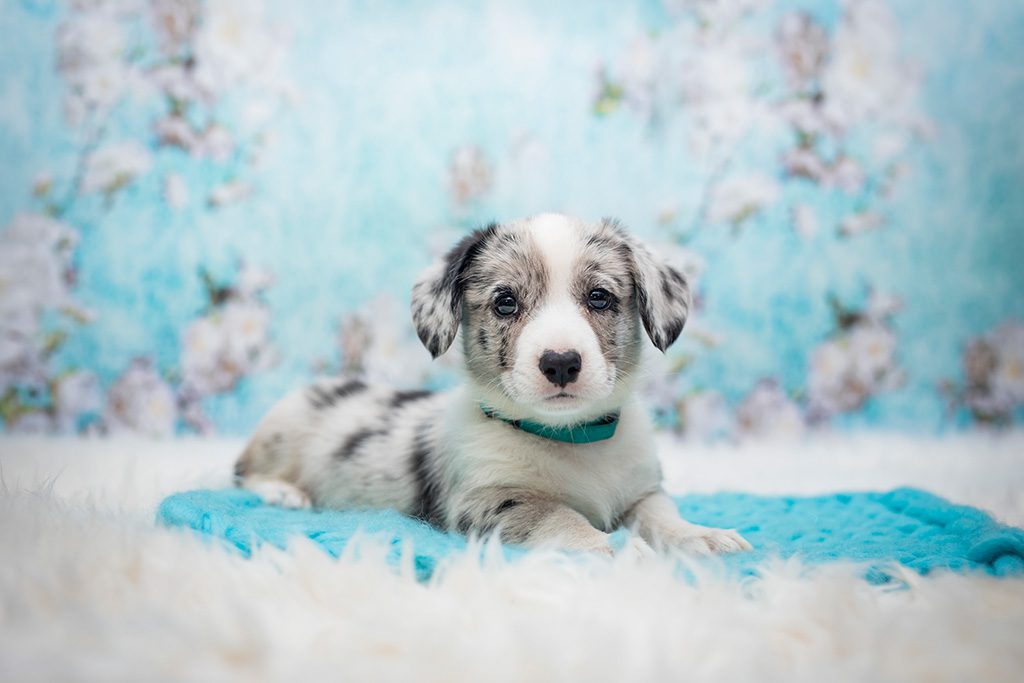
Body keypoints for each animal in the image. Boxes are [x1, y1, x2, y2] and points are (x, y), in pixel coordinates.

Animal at [235, 216, 757, 557]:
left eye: (599, 297)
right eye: (506, 302)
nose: (561, 363)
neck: (572, 437)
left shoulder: (642, 491)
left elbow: (662, 515)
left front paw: (700, 535)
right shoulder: (487, 498)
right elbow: (557, 514)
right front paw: (611, 549)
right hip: (278, 439)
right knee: (243, 474)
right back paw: (282, 492)